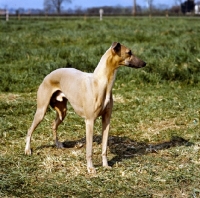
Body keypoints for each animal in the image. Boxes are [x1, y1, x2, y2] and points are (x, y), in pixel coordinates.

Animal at [25, 41, 147, 173]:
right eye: (129, 52)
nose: (145, 63)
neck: (100, 83)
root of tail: (48, 75)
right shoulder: (89, 121)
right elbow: (89, 149)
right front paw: (91, 168)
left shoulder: (106, 120)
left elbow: (104, 147)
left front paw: (105, 165)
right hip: (41, 111)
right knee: (30, 130)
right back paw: (27, 150)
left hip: (63, 111)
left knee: (53, 125)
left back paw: (58, 144)